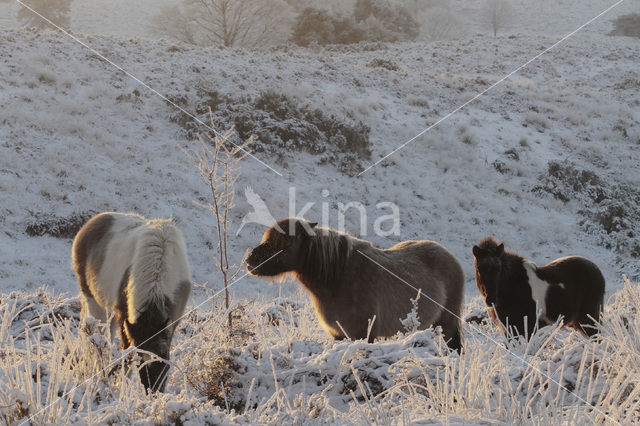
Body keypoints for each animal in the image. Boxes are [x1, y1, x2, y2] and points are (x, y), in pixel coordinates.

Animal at [71, 212, 190, 392]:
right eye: (140, 359)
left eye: (162, 357)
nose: (153, 390)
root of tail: (93, 222)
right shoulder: (125, 319)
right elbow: (126, 355)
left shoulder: (173, 321)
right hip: (94, 304)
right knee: (98, 340)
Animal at [246, 218, 464, 352]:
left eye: (285, 243)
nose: (250, 260)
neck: (339, 278)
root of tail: (450, 256)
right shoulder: (338, 335)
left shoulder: (363, 335)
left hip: (448, 323)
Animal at [470, 238, 604, 338]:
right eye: (479, 269)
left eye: (498, 269)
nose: (490, 299)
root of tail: (598, 271)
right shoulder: (509, 330)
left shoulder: (526, 330)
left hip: (589, 321)